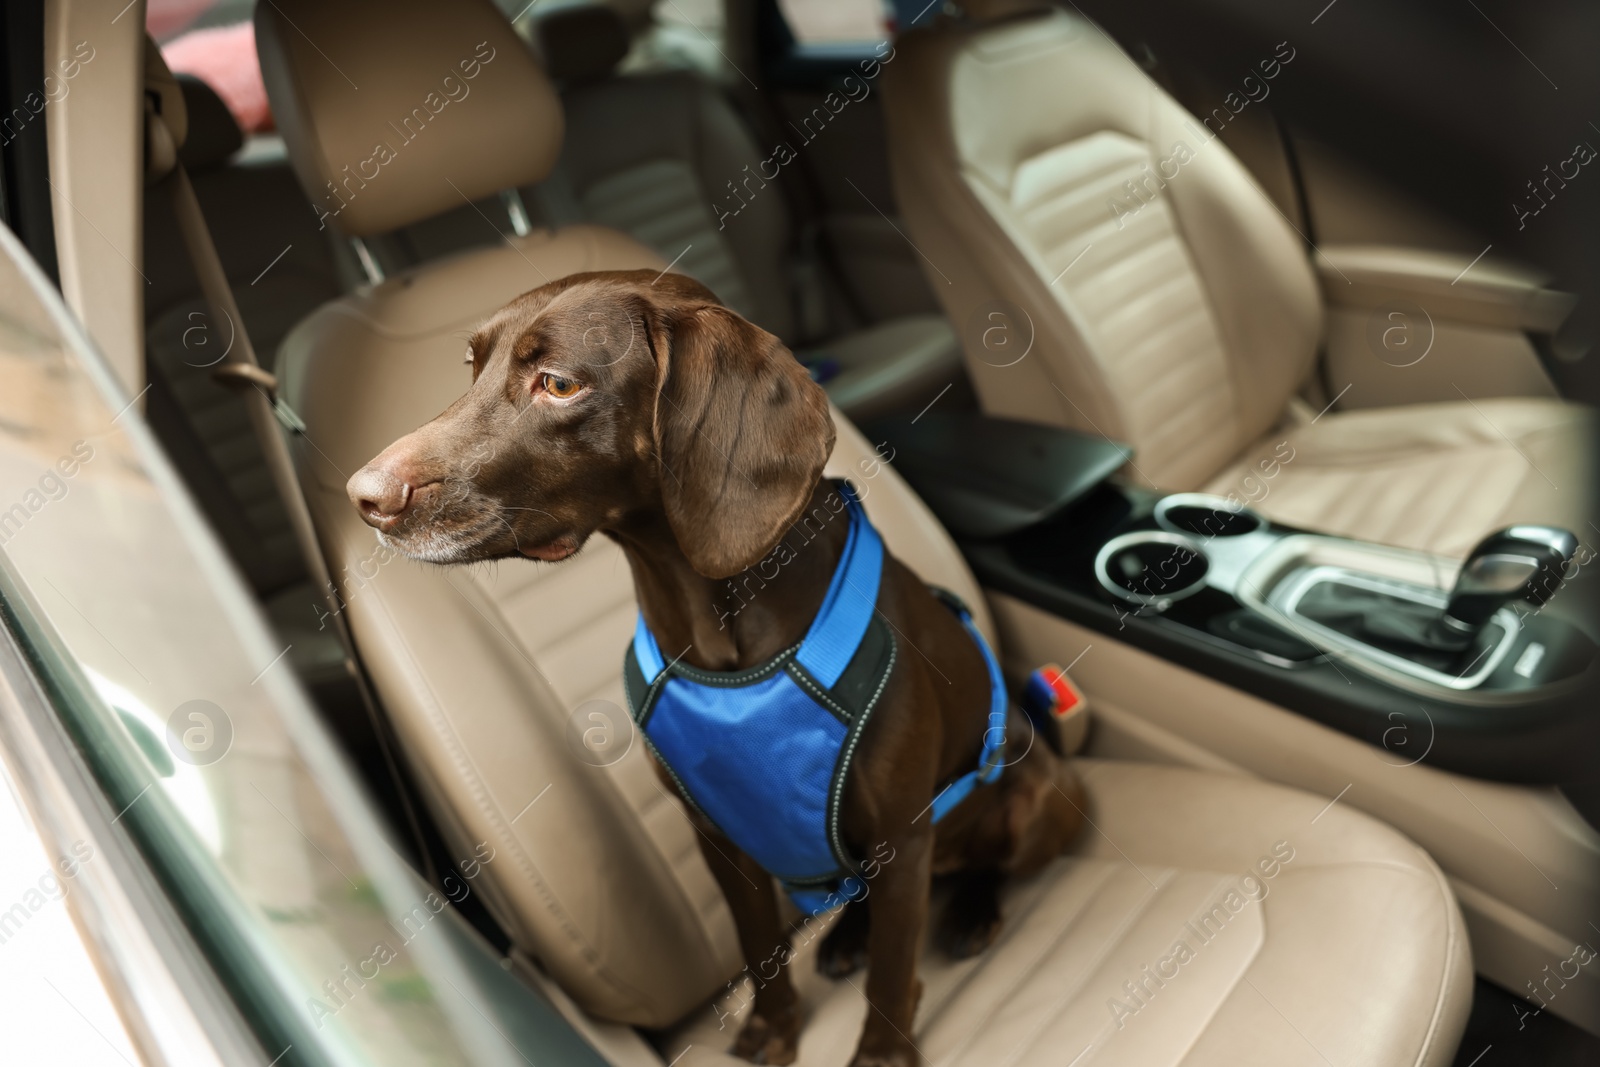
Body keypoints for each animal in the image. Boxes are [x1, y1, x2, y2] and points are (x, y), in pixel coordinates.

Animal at [344, 271, 1081, 1062]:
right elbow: (759, 947)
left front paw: (881, 1054)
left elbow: (891, 972)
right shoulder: (719, 840)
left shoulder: (904, 835)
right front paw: (772, 1029)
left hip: (1035, 798)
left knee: (982, 867)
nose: (365, 497)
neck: (721, 639)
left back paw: (972, 911)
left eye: (559, 383)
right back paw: (846, 936)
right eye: (472, 367)